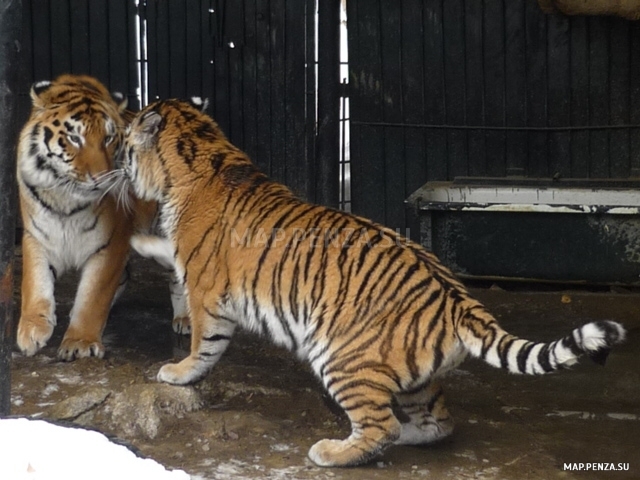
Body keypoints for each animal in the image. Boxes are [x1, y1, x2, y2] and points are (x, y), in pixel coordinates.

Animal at [14, 74, 188, 360]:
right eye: (74, 137)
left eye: (108, 139)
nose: (100, 179)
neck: (65, 197)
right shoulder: (36, 235)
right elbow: (35, 282)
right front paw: (32, 330)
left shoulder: (111, 243)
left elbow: (93, 296)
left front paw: (80, 342)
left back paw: (185, 318)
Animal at [120, 98, 624, 468]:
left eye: (125, 143)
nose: (117, 151)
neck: (204, 155)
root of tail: (458, 300)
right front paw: (139, 240)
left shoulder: (207, 291)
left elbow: (203, 345)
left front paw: (179, 371)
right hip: (417, 377)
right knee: (434, 424)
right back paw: (405, 436)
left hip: (341, 356)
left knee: (382, 426)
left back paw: (330, 452)